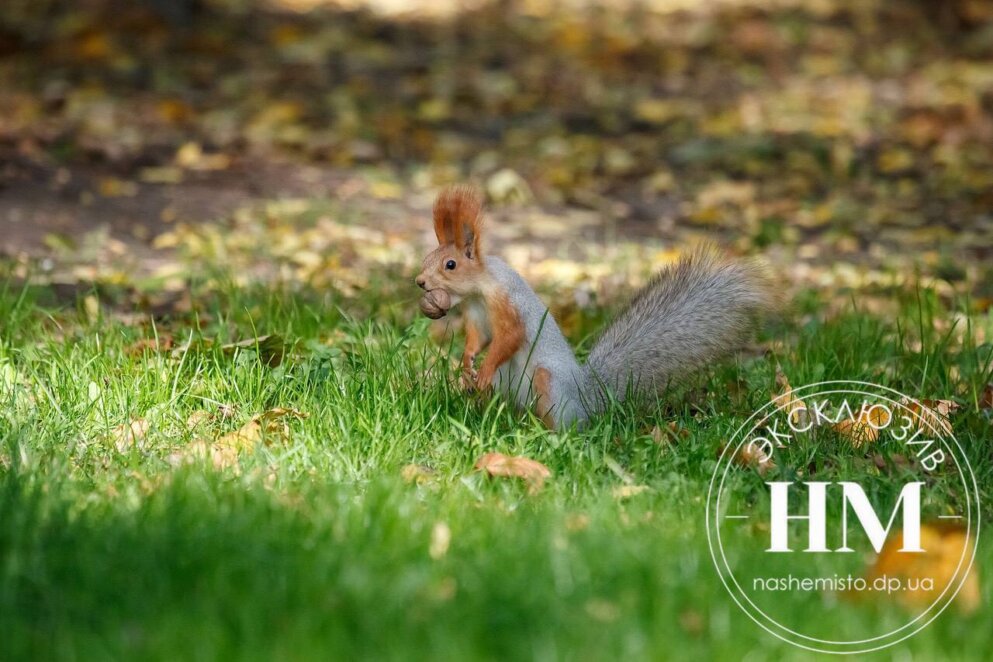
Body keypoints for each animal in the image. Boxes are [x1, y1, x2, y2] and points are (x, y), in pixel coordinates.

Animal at [414, 187, 780, 434]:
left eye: (450, 264)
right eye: (428, 258)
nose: (420, 282)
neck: (481, 289)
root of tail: (587, 399)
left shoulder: (508, 304)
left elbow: (509, 338)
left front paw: (485, 367)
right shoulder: (476, 312)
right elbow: (478, 338)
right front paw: (466, 364)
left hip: (547, 380)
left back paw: (547, 433)